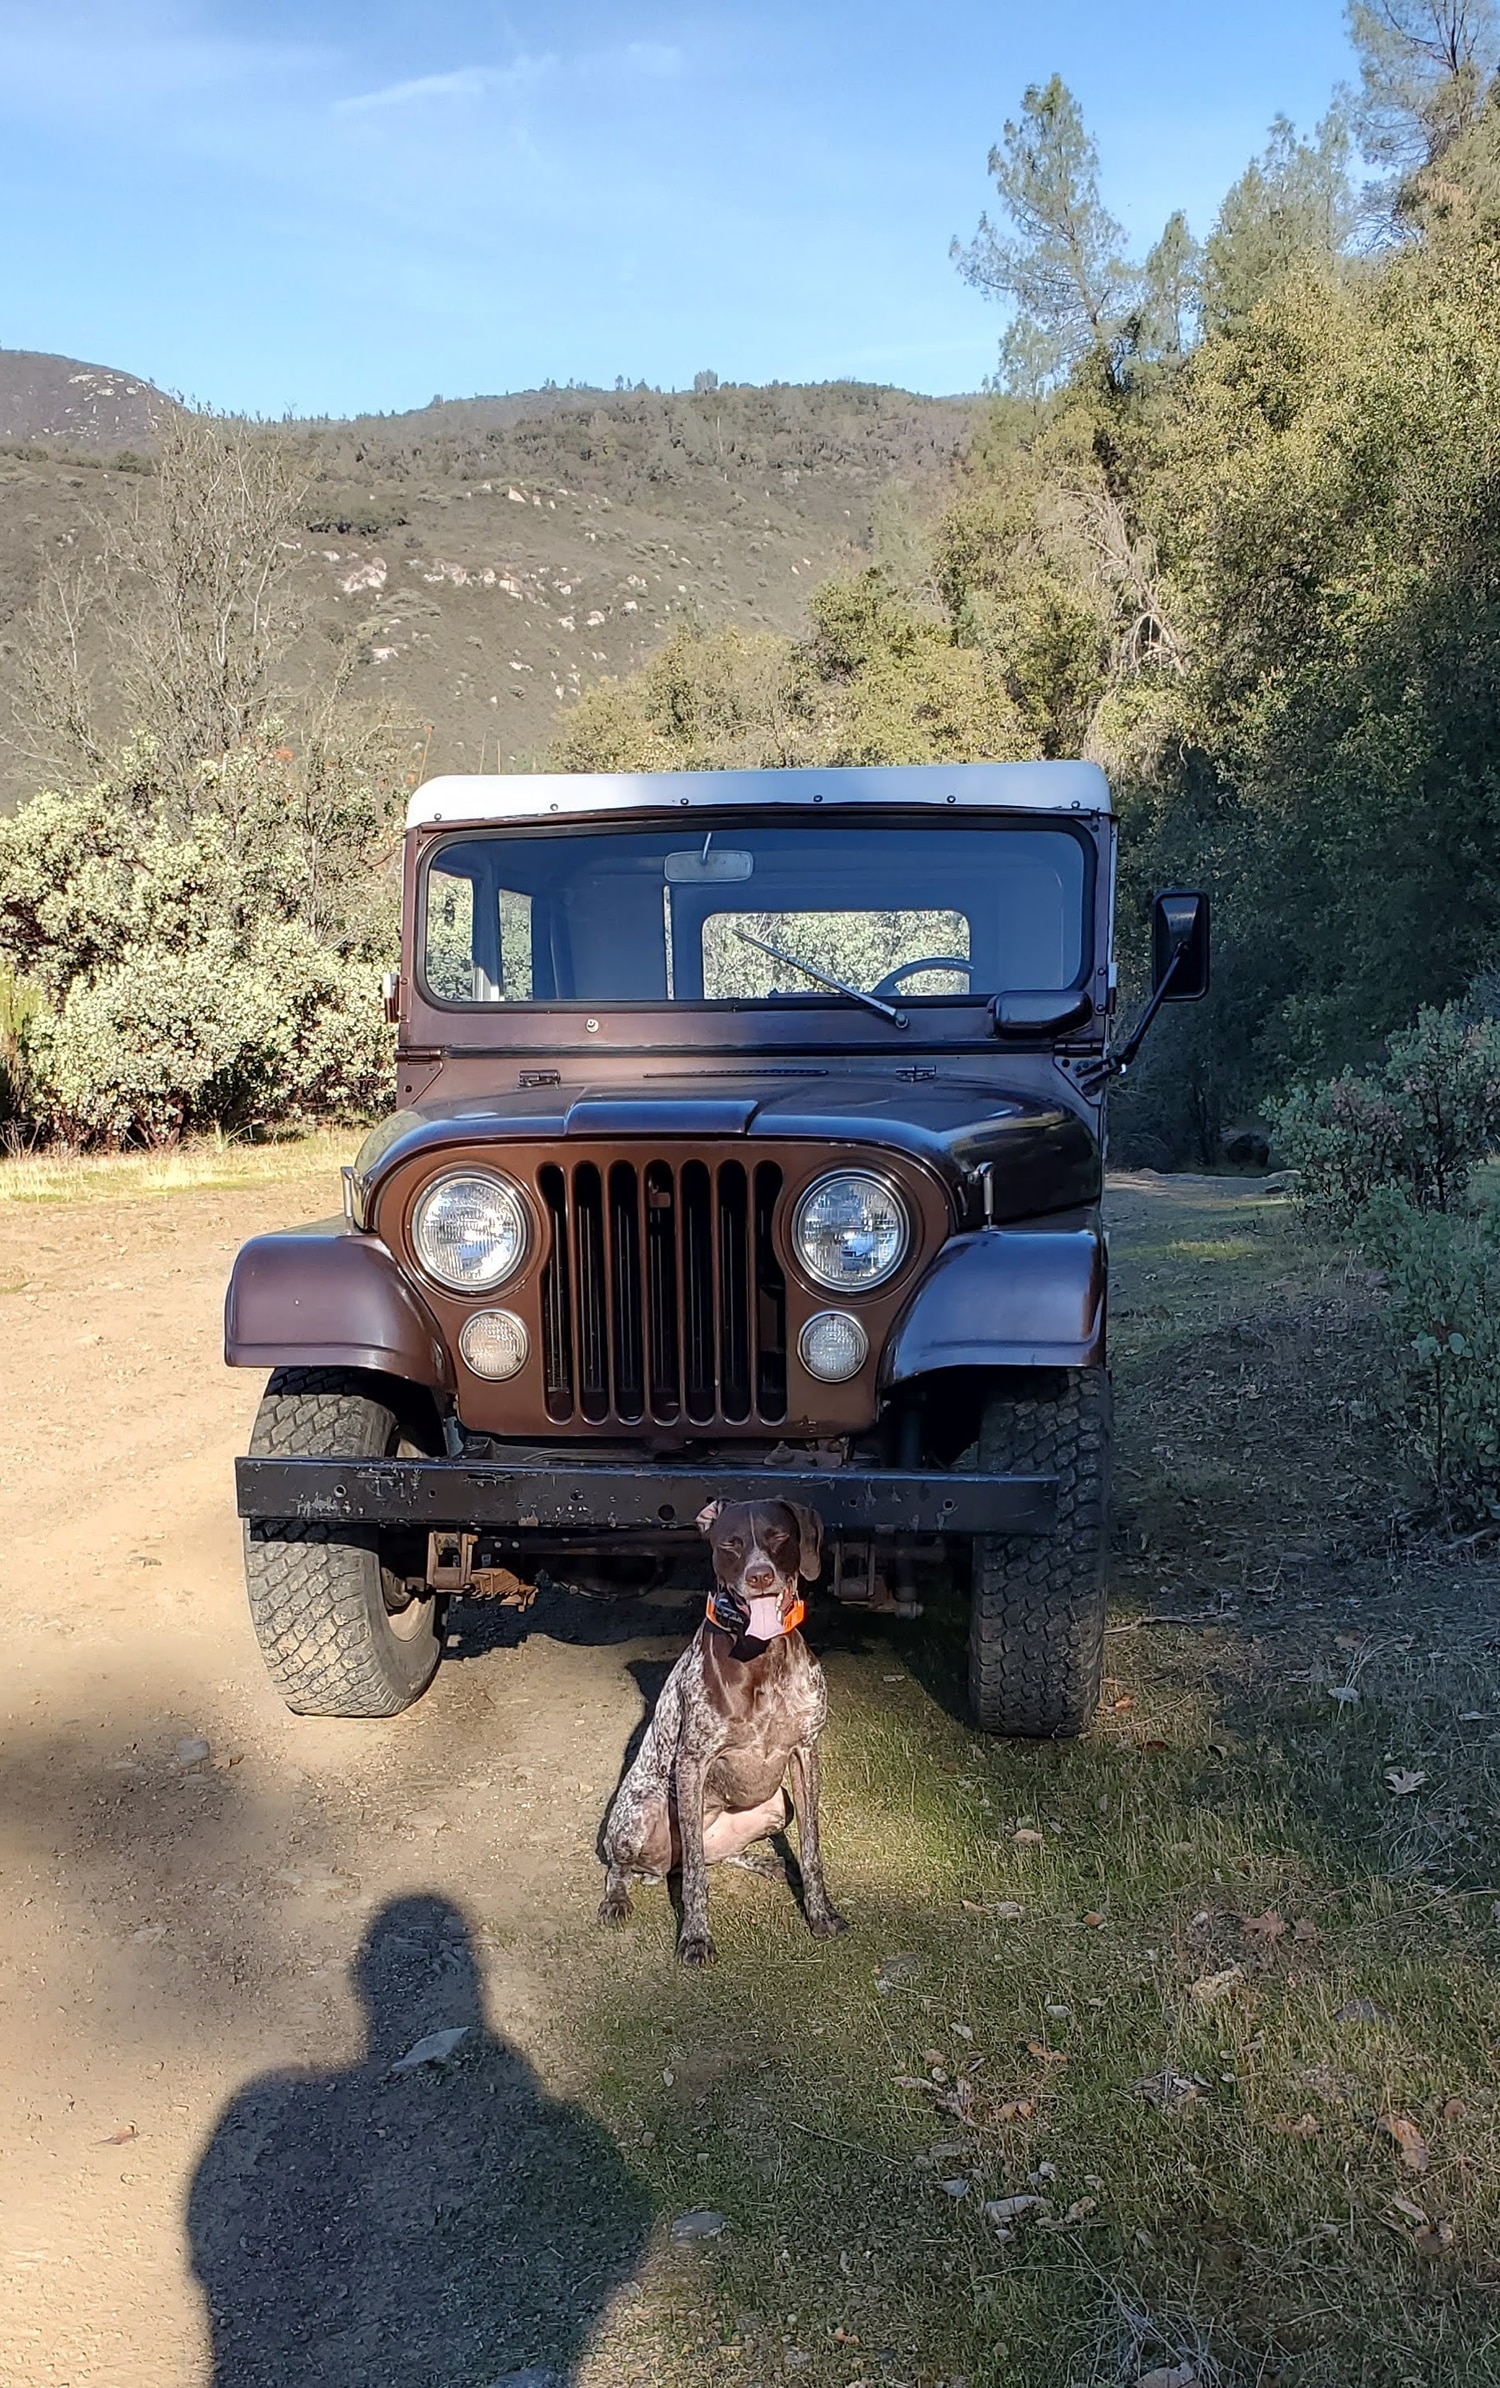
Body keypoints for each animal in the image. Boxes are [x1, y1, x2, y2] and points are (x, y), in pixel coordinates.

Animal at [598, 1497, 848, 1966]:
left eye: (777, 1536)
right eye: (730, 1543)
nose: (760, 1575)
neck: (762, 1653)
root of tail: (662, 1868)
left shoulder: (806, 1752)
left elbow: (811, 1850)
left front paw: (820, 1914)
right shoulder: (693, 1762)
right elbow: (696, 1876)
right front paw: (695, 1937)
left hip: (779, 1804)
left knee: (717, 1856)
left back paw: (763, 1862)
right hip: (639, 1813)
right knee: (630, 1867)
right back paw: (617, 1898)